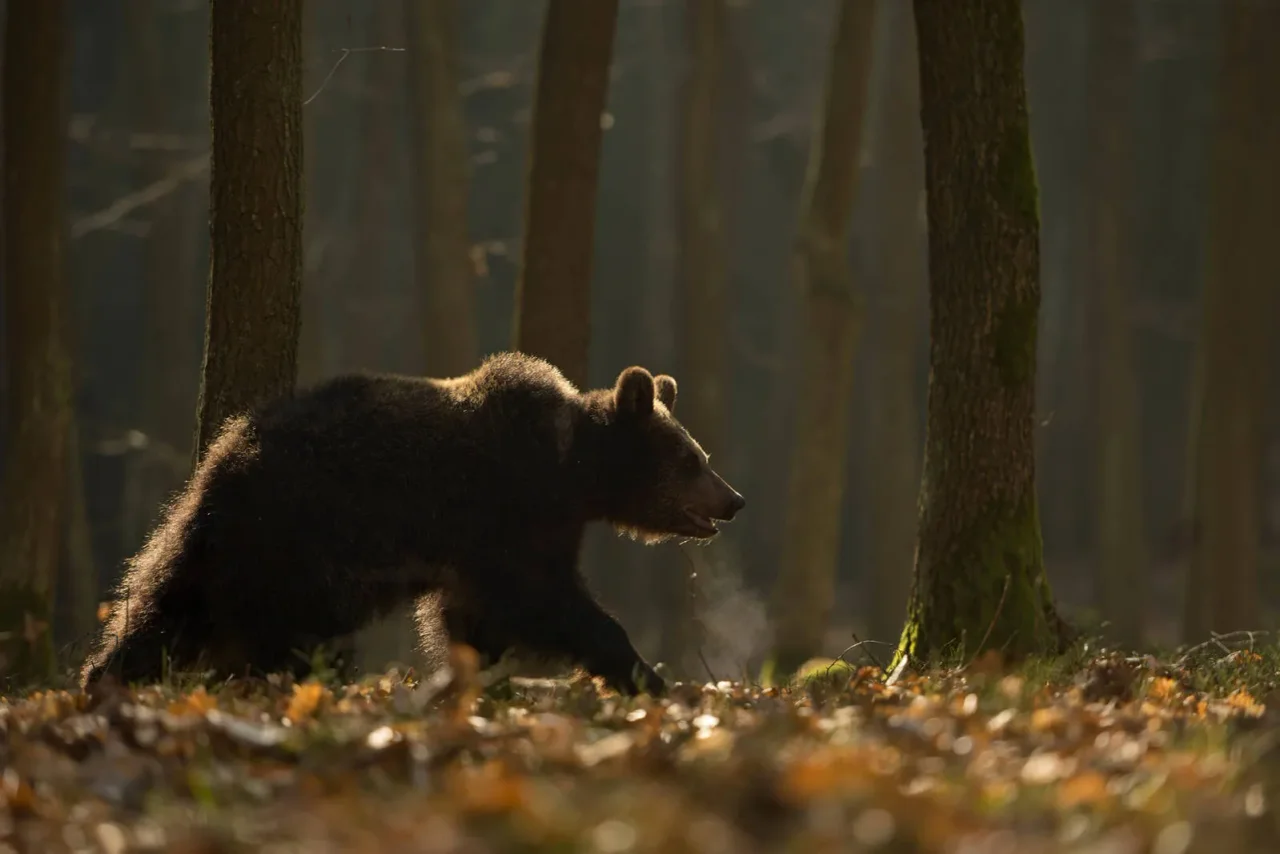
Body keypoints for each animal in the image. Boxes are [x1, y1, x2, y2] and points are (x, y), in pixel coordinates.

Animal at [80, 352, 745, 696]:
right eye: (692, 459)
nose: (734, 500)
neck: (573, 472)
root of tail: (226, 452)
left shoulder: (486, 547)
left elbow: (473, 617)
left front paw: (474, 675)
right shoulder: (511, 512)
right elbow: (550, 601)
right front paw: (647, 677)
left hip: (234, 538)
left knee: (167, 599)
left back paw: (109, 674)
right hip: (302, 536)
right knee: (274, 622)